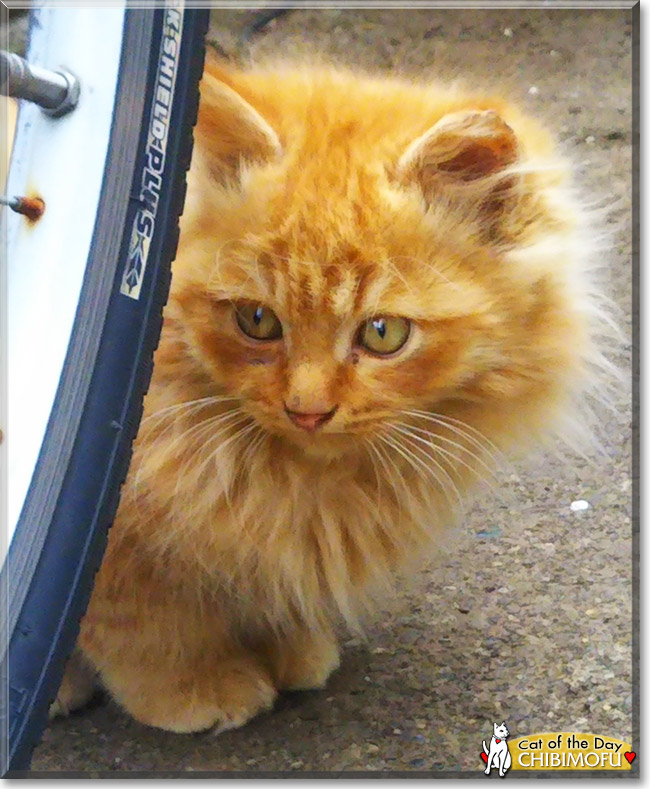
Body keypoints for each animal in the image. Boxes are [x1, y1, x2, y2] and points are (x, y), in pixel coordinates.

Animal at [50, 57, 604, 732]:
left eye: (383, 333)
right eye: (257, 321)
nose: (307, 410)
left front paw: (291, 647)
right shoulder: (115, 529)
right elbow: (142, 625)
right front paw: (192, 688)